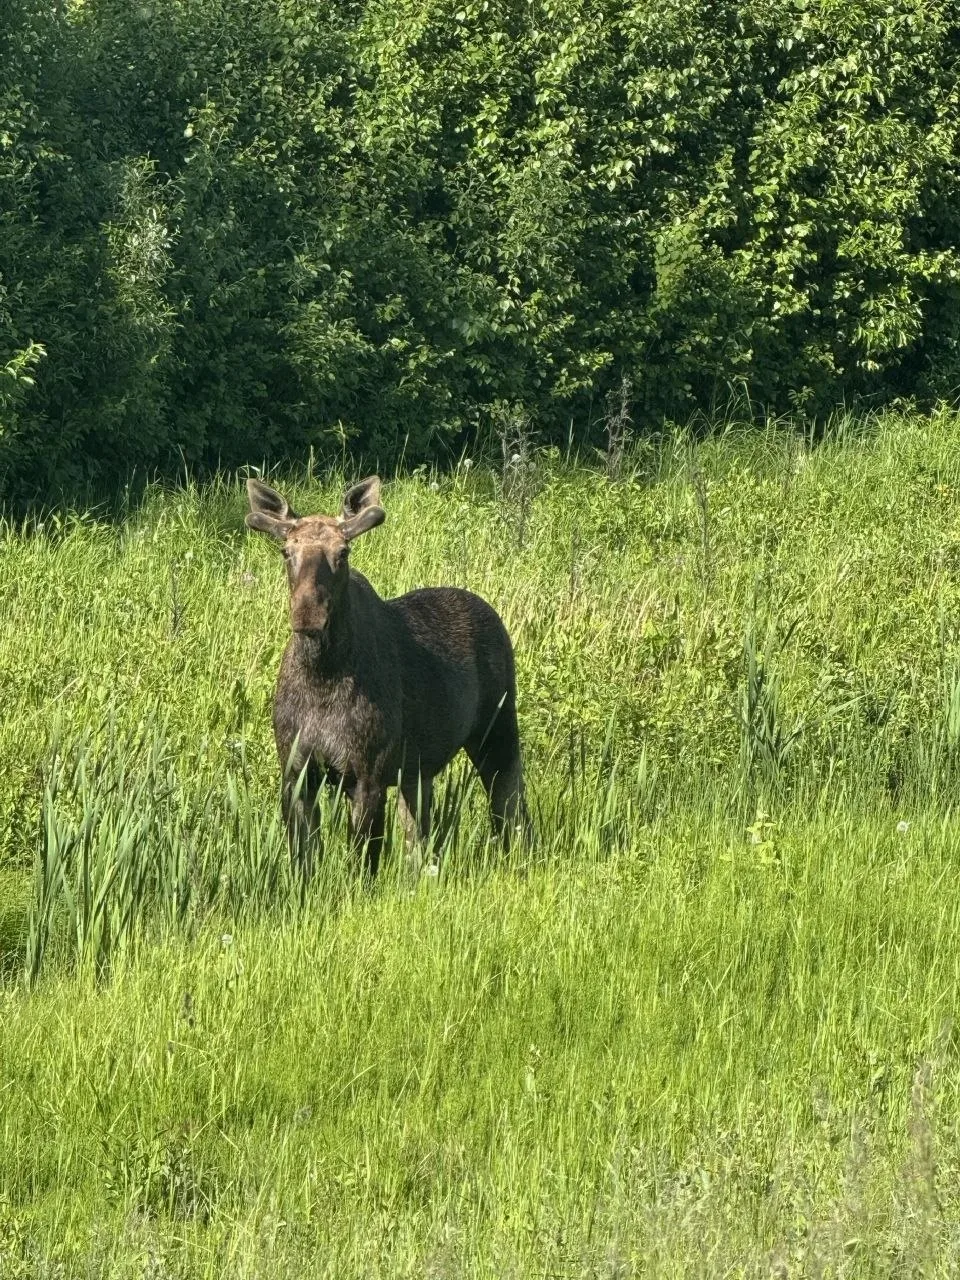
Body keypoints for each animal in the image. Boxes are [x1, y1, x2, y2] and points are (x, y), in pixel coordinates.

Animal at [245, 475, 528, 879]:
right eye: (286, 551)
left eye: (343, 552)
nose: (307, 614)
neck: (322, 676)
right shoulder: (296, 772)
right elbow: (303, 860)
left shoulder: (369, 775)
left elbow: (363, 863)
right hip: (418, 771)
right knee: (420, 835)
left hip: (497, 731)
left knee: (511, 804)